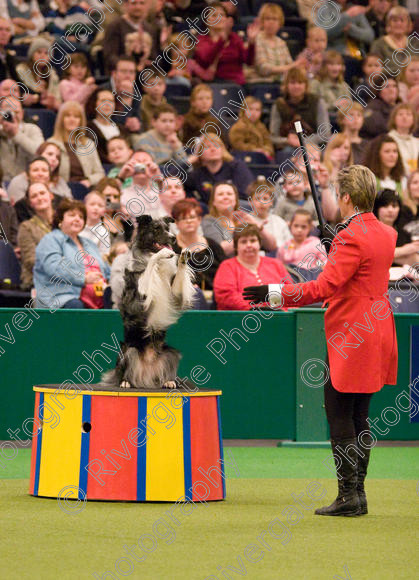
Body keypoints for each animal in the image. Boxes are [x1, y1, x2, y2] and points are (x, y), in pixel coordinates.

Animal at [104, 214, 198, 390]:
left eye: (167, 229)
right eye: (156, 229)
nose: (173, 238)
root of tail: (146, 378)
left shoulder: (175, 295)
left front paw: (182, 256)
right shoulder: (139, 299)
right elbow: (151, 263)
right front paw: (162, 253)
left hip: (171, 353)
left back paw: (168, 381)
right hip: (129, 351)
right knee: (125, 371)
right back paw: (125, 381)